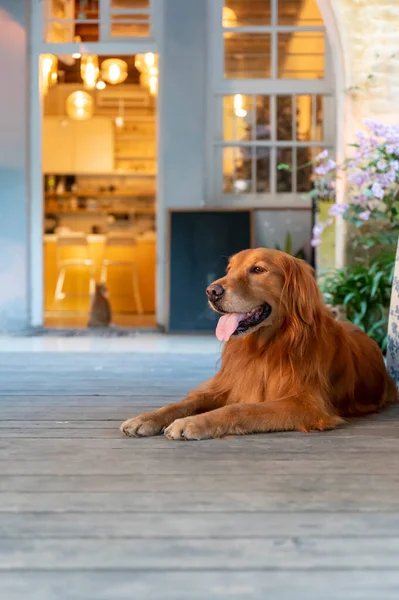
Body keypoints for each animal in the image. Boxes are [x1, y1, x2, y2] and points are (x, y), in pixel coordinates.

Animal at [120, 248, 398, 440]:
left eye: (258, 270)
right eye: (229, 268)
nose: (211, 291)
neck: (263, 349)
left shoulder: (306, 404)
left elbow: (240, 409)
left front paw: (193, 423)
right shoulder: (226, 386)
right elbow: (185, 403)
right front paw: (146, 418)